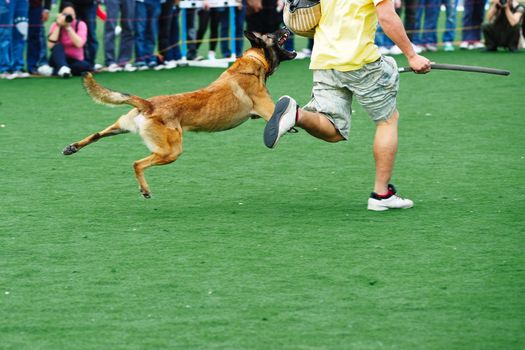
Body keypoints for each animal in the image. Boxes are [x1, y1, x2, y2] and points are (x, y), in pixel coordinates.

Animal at [62, 29, 294, 198]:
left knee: (96, 135)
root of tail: (148, 104)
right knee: (137, 164)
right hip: (170, 151)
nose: (285, 27)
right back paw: (145, 189)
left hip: (122, 126)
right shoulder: (269, 111)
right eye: (273, 34)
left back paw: (72, 147)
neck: (254, 62)